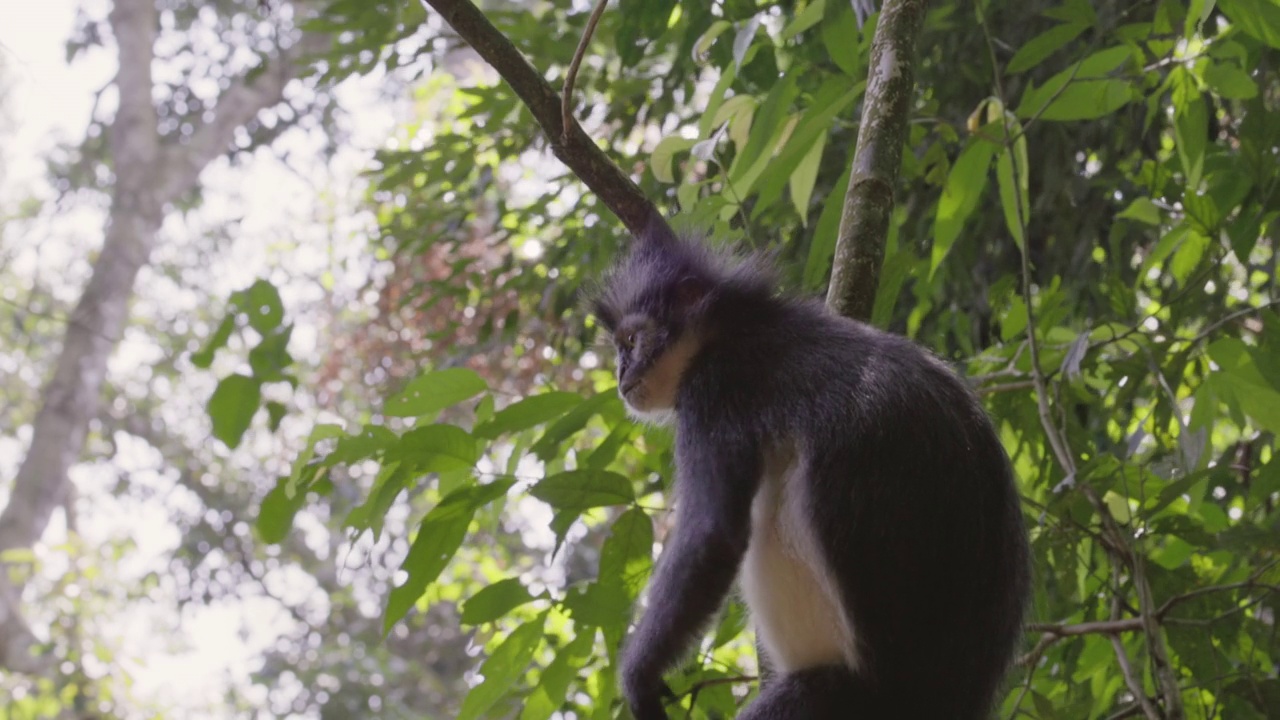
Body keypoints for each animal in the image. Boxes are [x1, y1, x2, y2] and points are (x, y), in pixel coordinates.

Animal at [593, 219, 1034, 717]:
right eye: (620, 349)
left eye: (631, 342)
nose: (620, 375)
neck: (737, 325)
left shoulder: (714, 390)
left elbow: (712, 533)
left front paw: (639, 677)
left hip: (846, 698)